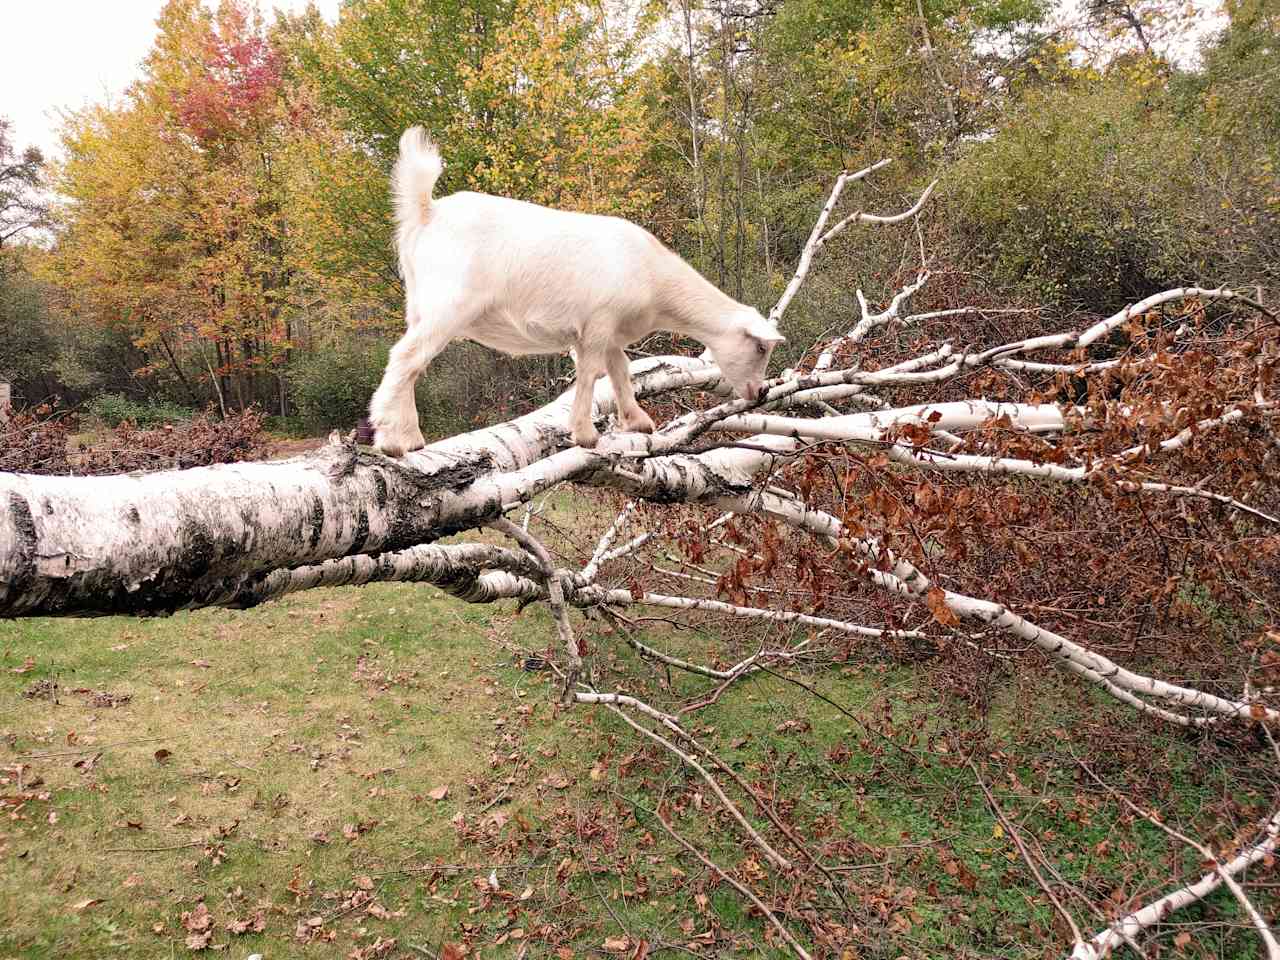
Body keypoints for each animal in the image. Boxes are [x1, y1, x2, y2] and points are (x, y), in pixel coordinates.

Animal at [363, 128, 778, 458]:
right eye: (760, 347)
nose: (759, 392)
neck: (654, 280)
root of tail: (426, 212)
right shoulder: (597, 323)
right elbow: (591, 373)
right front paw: (585, 434)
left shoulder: (610, 333)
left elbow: (620, 371)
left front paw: (638, 421)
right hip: (448, 305)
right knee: (405, 358)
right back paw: (391, 440)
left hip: (419, 305)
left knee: (412, 364)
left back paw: (411, 438)